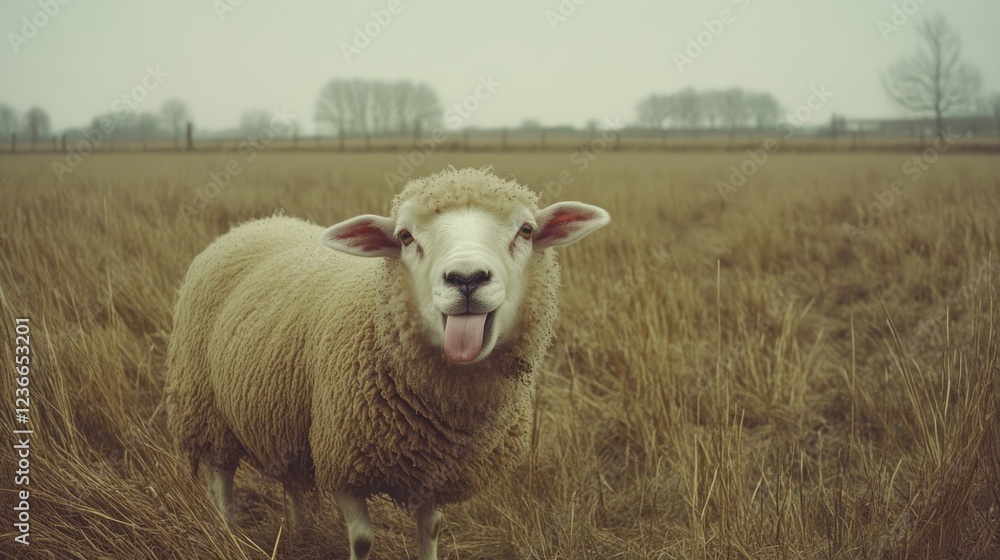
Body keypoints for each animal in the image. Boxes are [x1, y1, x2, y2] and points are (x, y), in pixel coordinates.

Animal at [165, 166, 609, 560]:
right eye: (405, 237)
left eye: (526, 231)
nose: (466, 278)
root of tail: (258, 223)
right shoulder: (342, 460)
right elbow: (362, 541)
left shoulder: (435, 470)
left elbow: (431, 530)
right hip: (203, 403)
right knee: (220, 476)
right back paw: (227, 531)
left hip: (286, 419)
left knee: (292, 480)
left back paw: (301, 531)